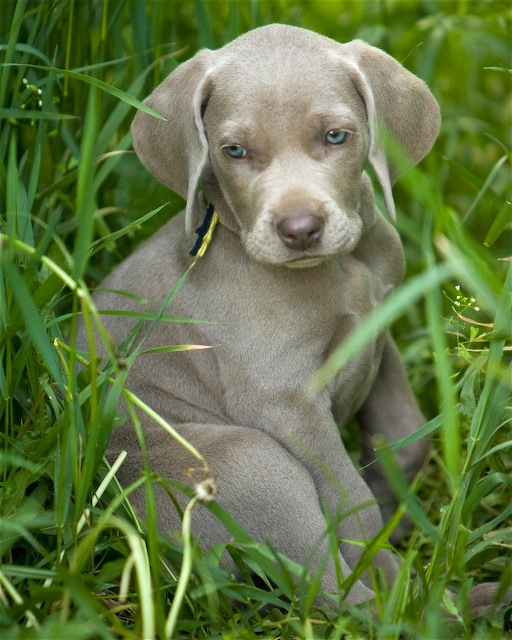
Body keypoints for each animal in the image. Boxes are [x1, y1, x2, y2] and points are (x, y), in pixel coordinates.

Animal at [85, 22, 500, 608]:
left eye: (336, 137)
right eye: (234, 151)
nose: (300, 229)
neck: (341, 267)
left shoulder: (377, 333)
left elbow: (405, 436)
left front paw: (395, 507)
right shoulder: (285, 403)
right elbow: (349, 501)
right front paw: (381, 558)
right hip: (251, 459)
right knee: (329, 589)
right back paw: (418, 605)